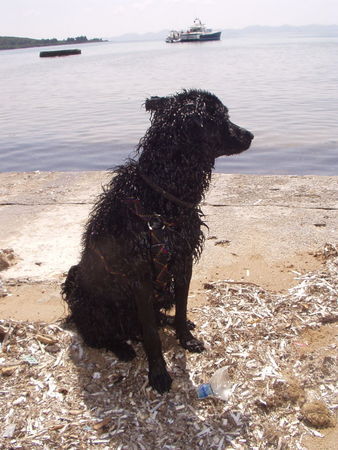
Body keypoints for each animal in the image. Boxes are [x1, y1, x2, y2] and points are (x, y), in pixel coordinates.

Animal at [62, 89, 254, 392]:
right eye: (220, 118)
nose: (250, 135)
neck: (161, 200)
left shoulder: (183, 259)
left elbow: (182, 307)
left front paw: (186, 337)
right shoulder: (139, 274)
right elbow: (151, 335)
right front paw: (159, 373)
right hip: (88, 300)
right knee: (97, 335)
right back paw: (123, 348)